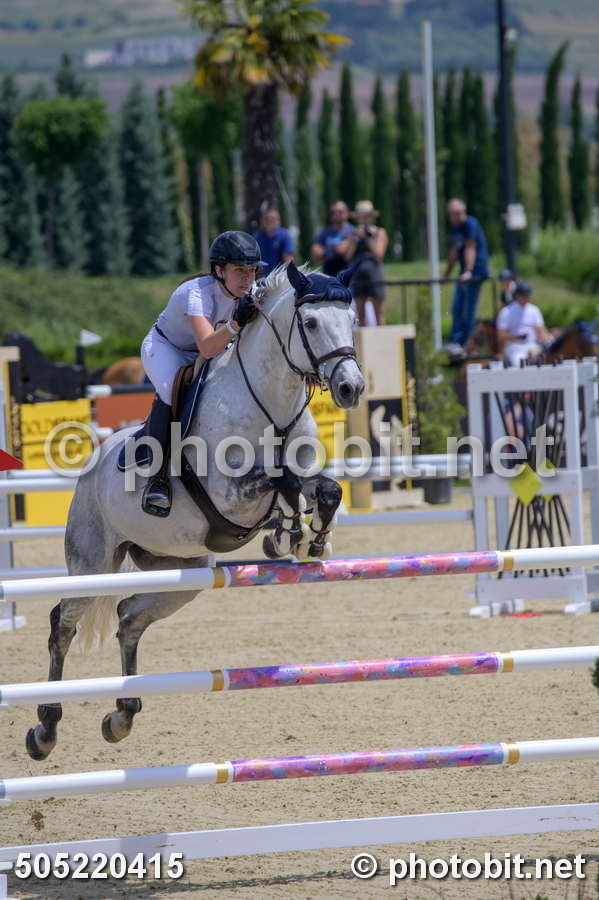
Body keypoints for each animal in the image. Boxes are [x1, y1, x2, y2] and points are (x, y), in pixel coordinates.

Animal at [26, 263, 365, 761]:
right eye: (311, 322)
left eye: (352, 321)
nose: (350, 387)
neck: (271, 405)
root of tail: (92, 467)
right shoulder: (230, 492)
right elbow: (282, 481)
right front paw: (290, 531)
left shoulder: (300, 472)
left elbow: (324, 488)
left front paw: (307, 537)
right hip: (92, 562)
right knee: (63, 624)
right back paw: (45, 728)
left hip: (184, 569)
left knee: (129, 616)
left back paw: (121, 715)